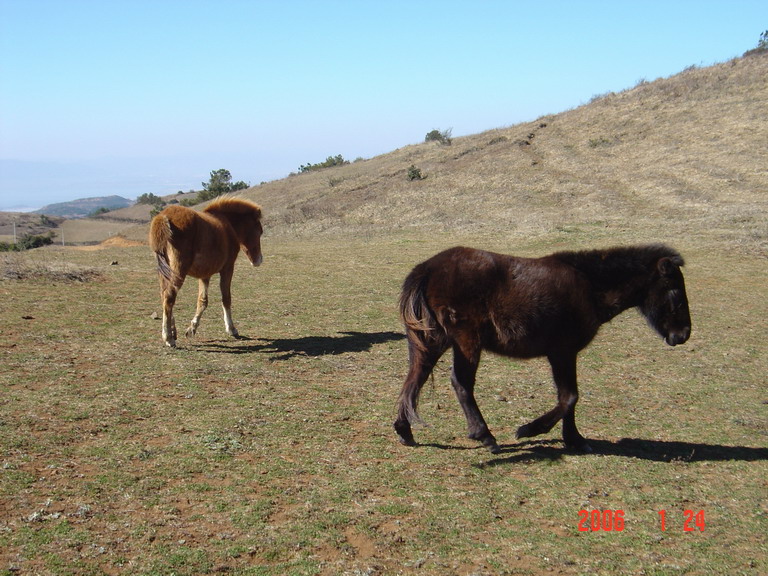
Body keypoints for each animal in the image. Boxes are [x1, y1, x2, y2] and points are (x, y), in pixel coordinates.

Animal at [148, 196, 266, 346]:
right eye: (260, 231)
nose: (258, 260)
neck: (227, 224)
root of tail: (164, 217)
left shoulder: (205, 274)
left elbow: (202, 301)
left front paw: (192, 329)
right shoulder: (228, 268)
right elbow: (226, 298)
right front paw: (231, 329)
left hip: (165, 272)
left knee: (164, 295)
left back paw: (173, 331)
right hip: (178, 270)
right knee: (169, 296)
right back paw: (168, 337)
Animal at [396, 243, 688, 454]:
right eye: (675, 291)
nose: (683, 335)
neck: (589, 286)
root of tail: (427, 268)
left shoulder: (564, 355)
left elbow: (568, 397)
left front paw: (574, 439)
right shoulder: (563, 352)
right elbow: (569, 397)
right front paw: (530, 429)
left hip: (431, 343)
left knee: (414, 381)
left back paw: (404, 431)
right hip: (466, 341)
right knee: (461, 382)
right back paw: (485, 436)